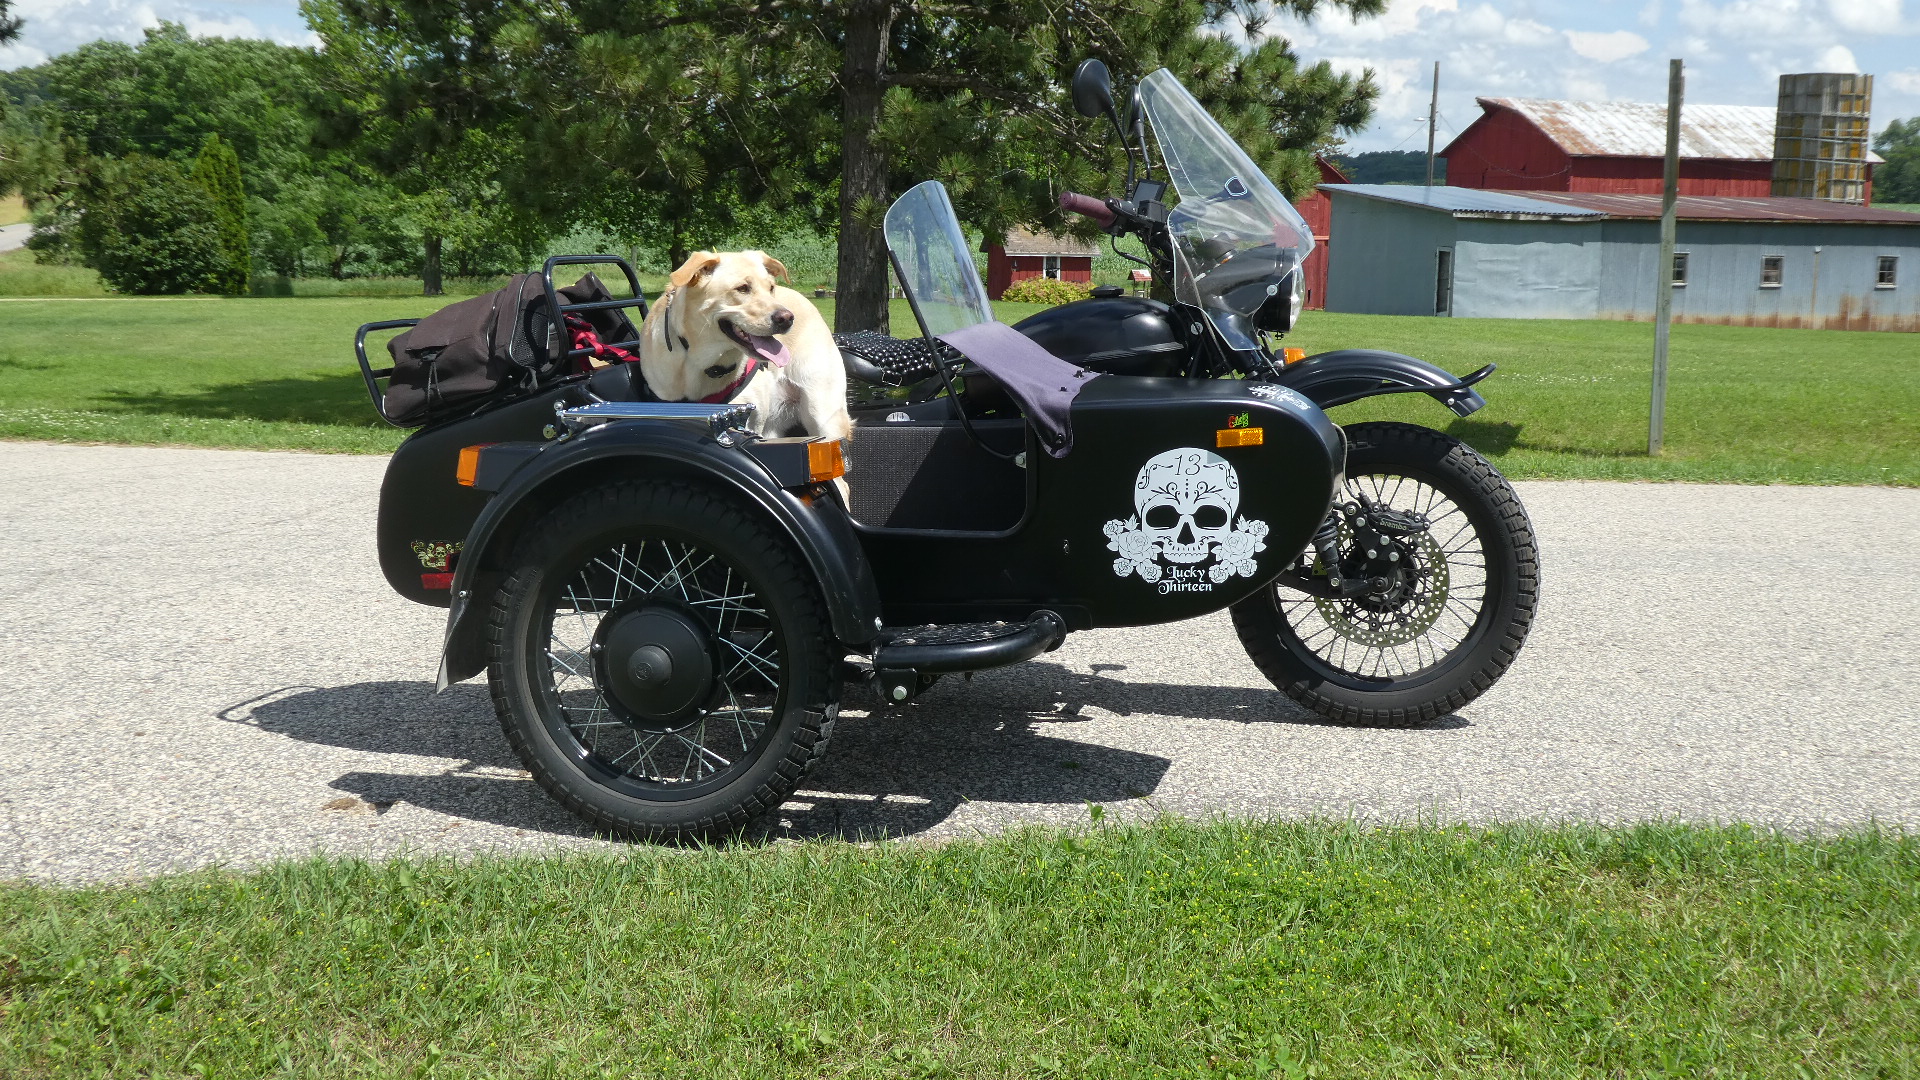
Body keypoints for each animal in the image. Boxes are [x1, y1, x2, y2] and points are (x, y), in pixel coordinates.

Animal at [641, 249, 852, 441]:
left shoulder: (749, 418)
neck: (704, 363)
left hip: (824, 416)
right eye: (742, 288)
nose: (787, 318)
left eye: (771, 288)